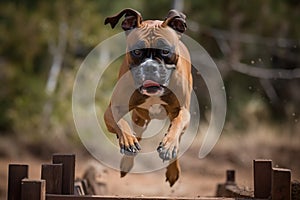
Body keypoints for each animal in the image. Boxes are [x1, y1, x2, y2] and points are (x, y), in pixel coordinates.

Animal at [103, 7, 192, 186]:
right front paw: (127, 141)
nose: (151, 67)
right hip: (140, 119)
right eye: (137, 51)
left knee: (177, 137)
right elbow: (120, 122)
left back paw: (172, 168)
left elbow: (178, 124)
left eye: (165, 51)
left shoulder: (184, 111)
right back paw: (127, 158)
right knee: (136, 134)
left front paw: (168, 146)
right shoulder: (112, 109)